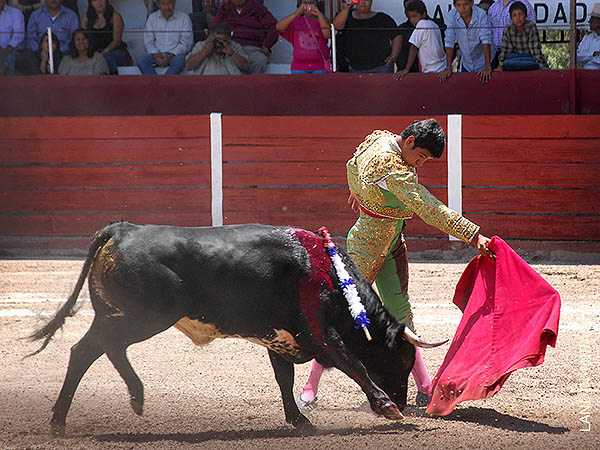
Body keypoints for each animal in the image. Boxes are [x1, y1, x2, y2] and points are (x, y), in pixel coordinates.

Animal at [30, 221, 432, 432]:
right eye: (402, 359)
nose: (402, 400)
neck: (327, 272)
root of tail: (123, 229)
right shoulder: (322, 335)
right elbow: (355, 365)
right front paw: (386, 407)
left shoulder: (280, 340)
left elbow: (283, 379)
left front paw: (298, 419)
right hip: (144, 317)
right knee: (102, 348)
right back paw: (134, 396)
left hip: (114, 315)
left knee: (85, 351)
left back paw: (61, 420)